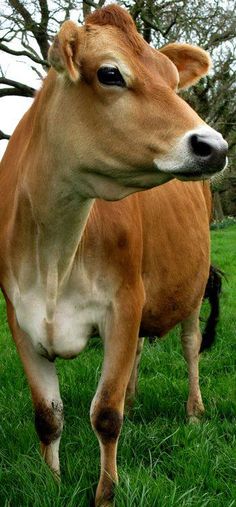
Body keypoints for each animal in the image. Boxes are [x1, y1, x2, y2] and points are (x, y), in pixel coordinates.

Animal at [0, 4, 227, 507]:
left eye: (171, 79)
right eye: (109, 73)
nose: (216, 146)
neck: (54, 254)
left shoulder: (124, 303)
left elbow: (106, 413)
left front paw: (105, 493)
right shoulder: (19, 316)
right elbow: (47, 415)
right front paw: (52, 483)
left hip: (193, 283)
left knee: (190, 346)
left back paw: (195, 410)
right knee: (142, 350)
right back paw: (137, 394)